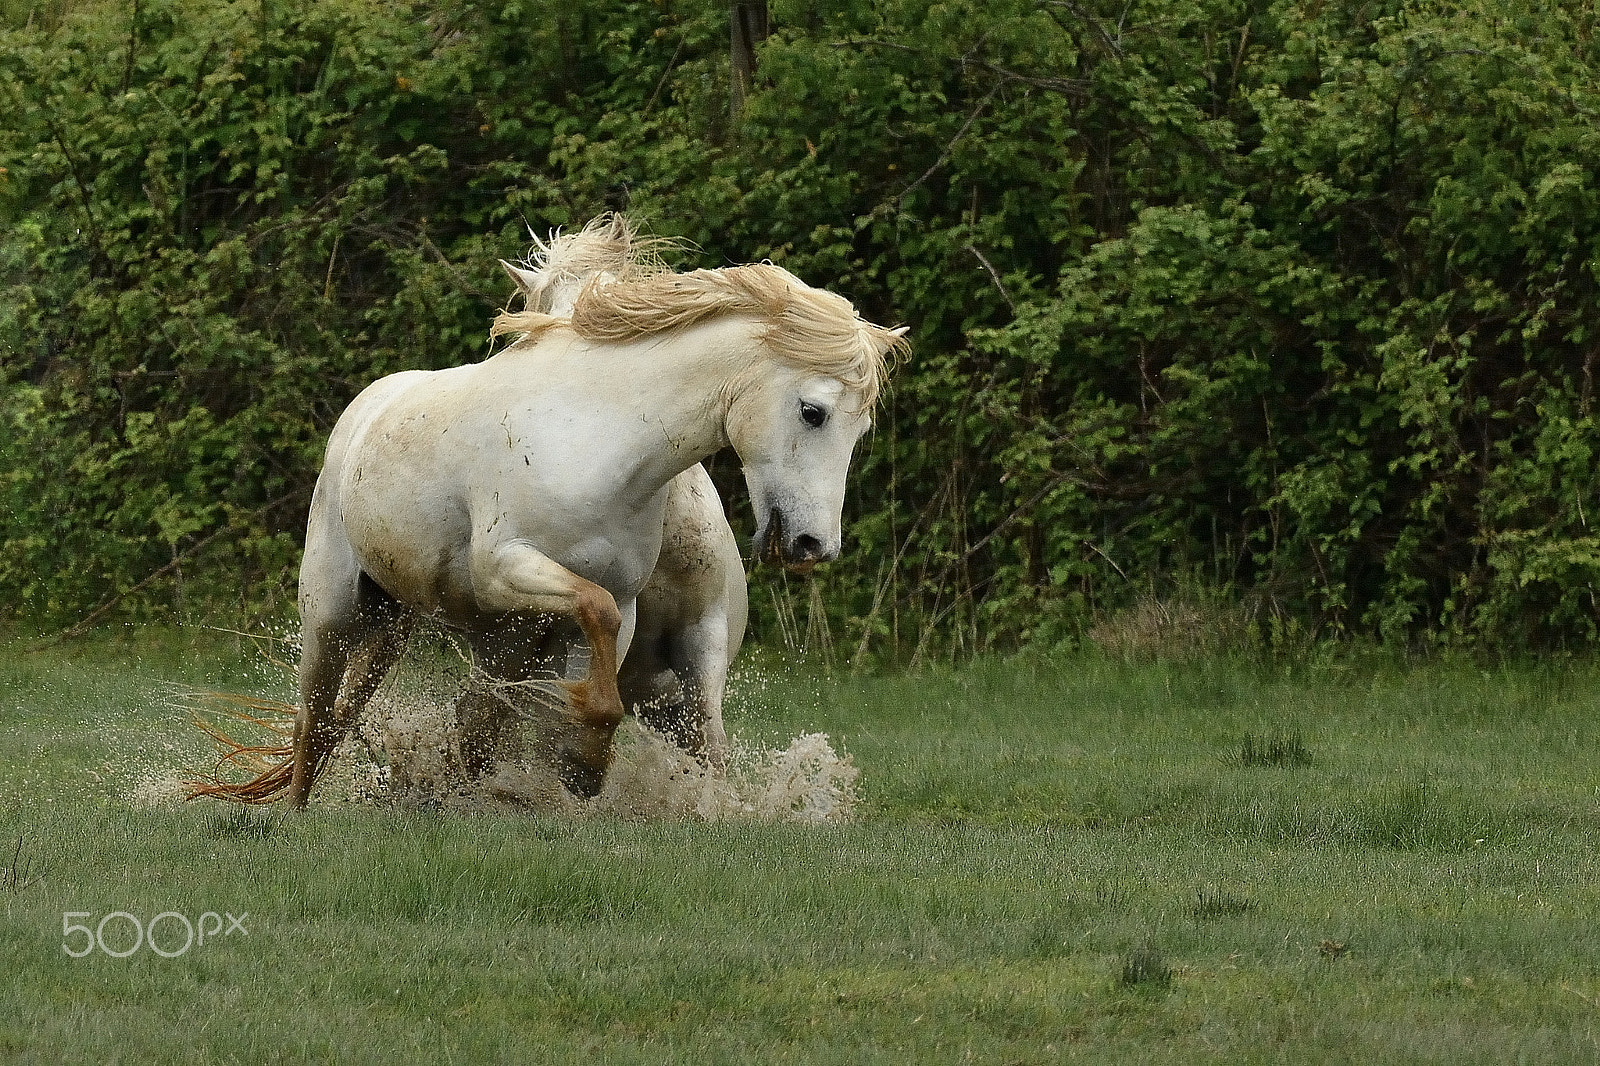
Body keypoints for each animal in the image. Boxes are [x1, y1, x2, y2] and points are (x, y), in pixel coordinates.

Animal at [193, 225, 908, 806]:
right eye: (813, 412)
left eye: (861, 426)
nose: (813, 544)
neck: (599, 437)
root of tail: (368, 406)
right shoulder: (504, 568)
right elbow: (592, 616)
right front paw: (583, 763)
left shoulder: (616, 607)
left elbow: (602, 653)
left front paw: (583, 765)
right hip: (335, 609)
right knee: (314, 719)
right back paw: (297, 817)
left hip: (412, 624)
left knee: (426, 722)